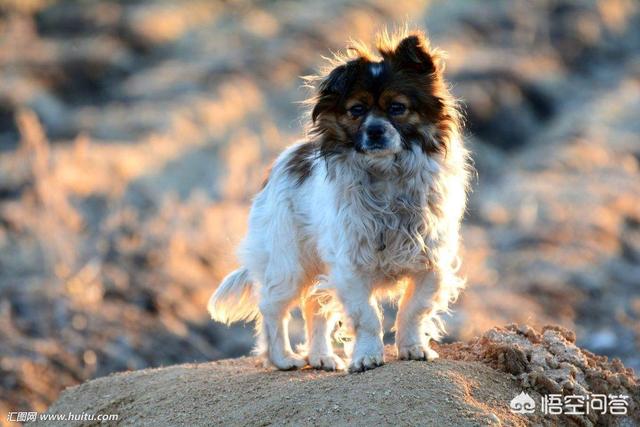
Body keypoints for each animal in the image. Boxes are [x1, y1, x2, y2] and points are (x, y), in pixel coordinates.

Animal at [209, 30, 470, 372]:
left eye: (397, 107)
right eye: (356, 110)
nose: (375, 131)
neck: (386, 175)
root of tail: (280, 164)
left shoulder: (431, 263)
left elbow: (413, 310)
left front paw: (413, 348)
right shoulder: (350, 267)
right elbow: (367, 317)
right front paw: (367, 357)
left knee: (314, 309)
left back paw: (322, 357)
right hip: (288, 264)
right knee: (272, 309)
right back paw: (283, 358)